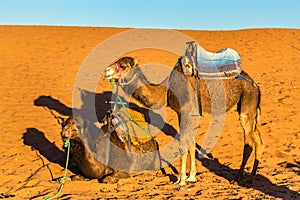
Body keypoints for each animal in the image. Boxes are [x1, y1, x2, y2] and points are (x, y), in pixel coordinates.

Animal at [103, 55, 262, 186]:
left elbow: (182, 145)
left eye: (123, 65)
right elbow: (191, 144)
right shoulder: (186, 114)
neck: (166, 91)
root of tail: (255, 85)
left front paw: (181, 179)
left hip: (247, 105)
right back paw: (251, 178)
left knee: (248, 145)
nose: (106, 71)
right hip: (250, 110)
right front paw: (191, 176)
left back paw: (237, 179)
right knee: (259, 141)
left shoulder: (184, 111)